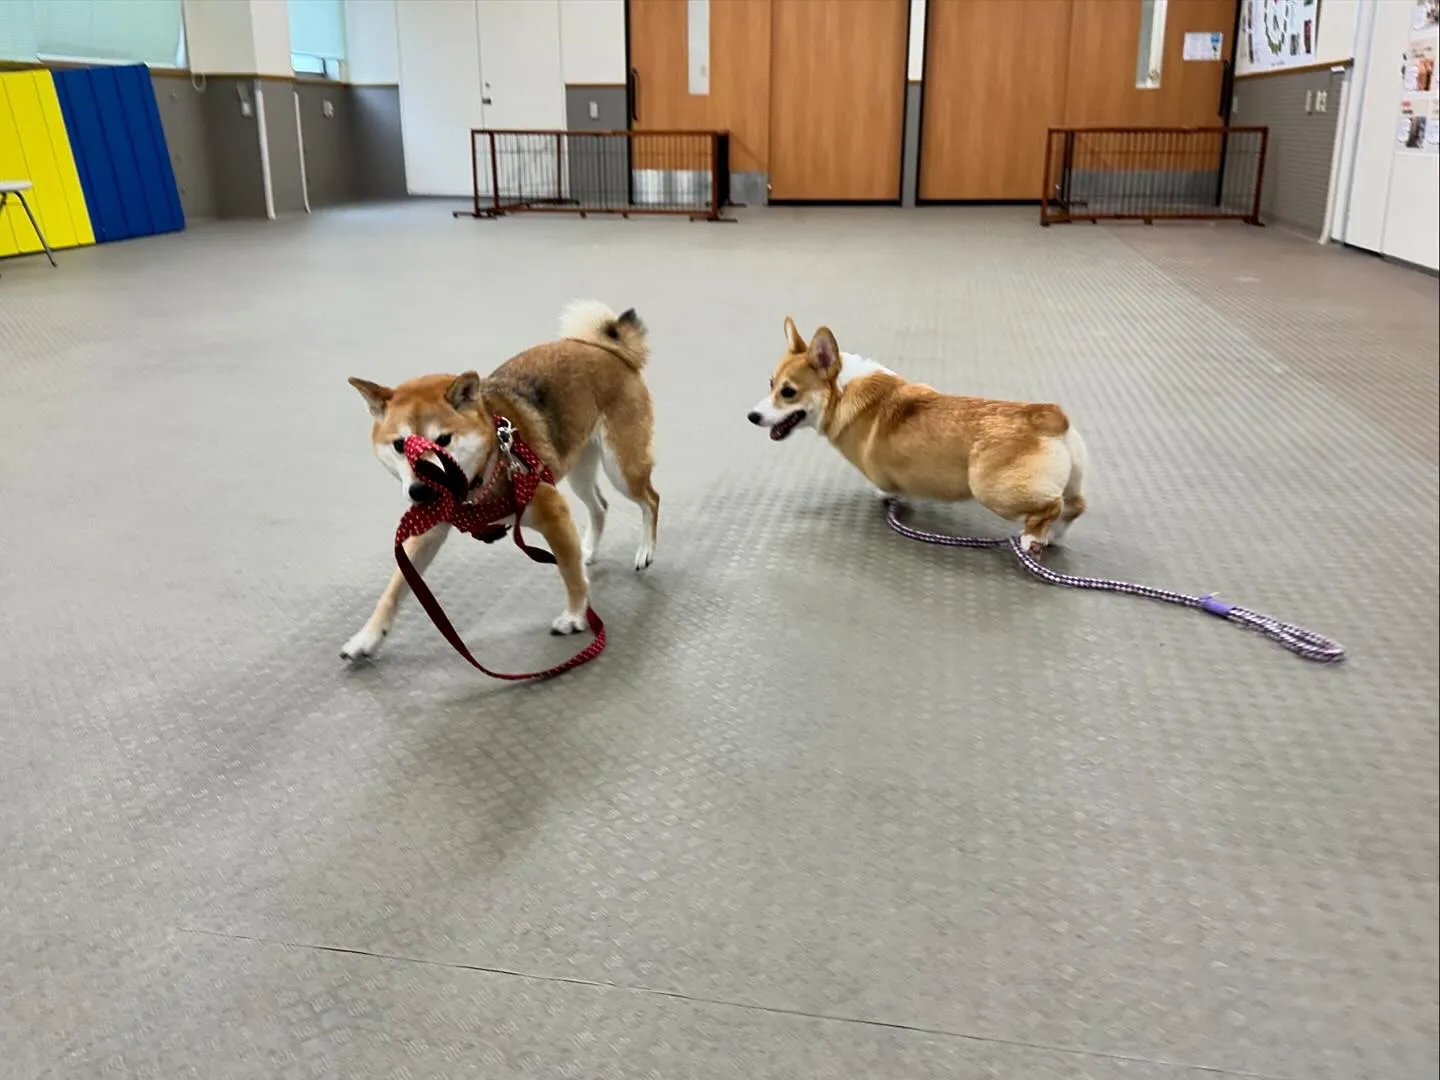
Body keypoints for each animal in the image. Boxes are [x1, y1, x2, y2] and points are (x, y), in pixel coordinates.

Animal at [342, 300, 662, 665]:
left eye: (444, 440)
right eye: (399, 445)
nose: (419, 491)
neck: (481, 477)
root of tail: (607, 349)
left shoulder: (552, 510)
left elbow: (570, 575)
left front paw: (575, 616)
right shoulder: (429, 529)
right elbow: (394, 590)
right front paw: (366, 638)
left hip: (621, 469)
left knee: (650, 499)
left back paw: (644, 551)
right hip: (577, 468)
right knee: (600, 507)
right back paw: (588, 550)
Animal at [748, 316, 1082, 552]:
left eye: (788, 392)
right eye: (770, 383)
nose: (752, 417)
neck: (842, 393)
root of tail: (1050, 416)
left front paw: (885, 495)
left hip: (990, 488)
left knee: (1052, 506)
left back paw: (1032, 539)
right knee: (1074, 507)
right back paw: (1052, 536)